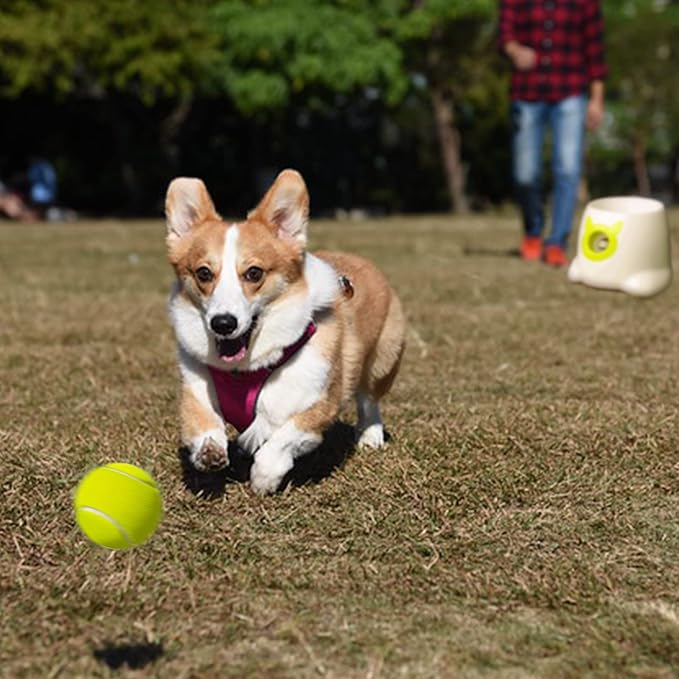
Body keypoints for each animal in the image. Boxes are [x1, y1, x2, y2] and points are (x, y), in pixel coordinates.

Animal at [167, 170, 406, 494]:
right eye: (204, 273)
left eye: (254, 273)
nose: (223, 323)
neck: (245, 370)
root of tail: (364, 262)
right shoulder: (196, 391)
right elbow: (205, 427)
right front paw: (210, 452)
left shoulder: (316, 406)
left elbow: (277, 444)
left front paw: (263, 480)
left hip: (382, 361)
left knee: (369, 400)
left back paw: (370, 436)